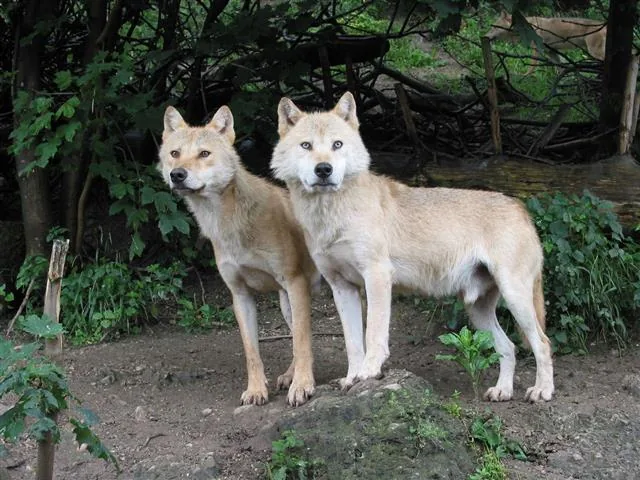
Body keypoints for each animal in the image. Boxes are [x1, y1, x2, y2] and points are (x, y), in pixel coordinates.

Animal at [158, 105, 318, 406]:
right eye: (175, 153)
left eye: (204, 153)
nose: (177, 174)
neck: (228, 223)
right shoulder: (240, 295)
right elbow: (252, 352)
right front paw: (256, 390)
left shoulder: (295, 282)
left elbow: (302, 343)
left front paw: (303, 386)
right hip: (286, 303)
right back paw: (288, 376)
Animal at [271, 92, 554, 402]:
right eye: (306, 145)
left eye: (337, 144)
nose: (324, 169)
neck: (331, 215)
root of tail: (521, 207)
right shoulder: (342, 288)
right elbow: (352, 343)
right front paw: (351, 378)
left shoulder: (377, 277)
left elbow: (373, 335)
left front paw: (368, 372)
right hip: (478, 309)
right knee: (509, 347)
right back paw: (503, 390)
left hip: (515, 298)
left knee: (543, 343)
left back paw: (542, 391)